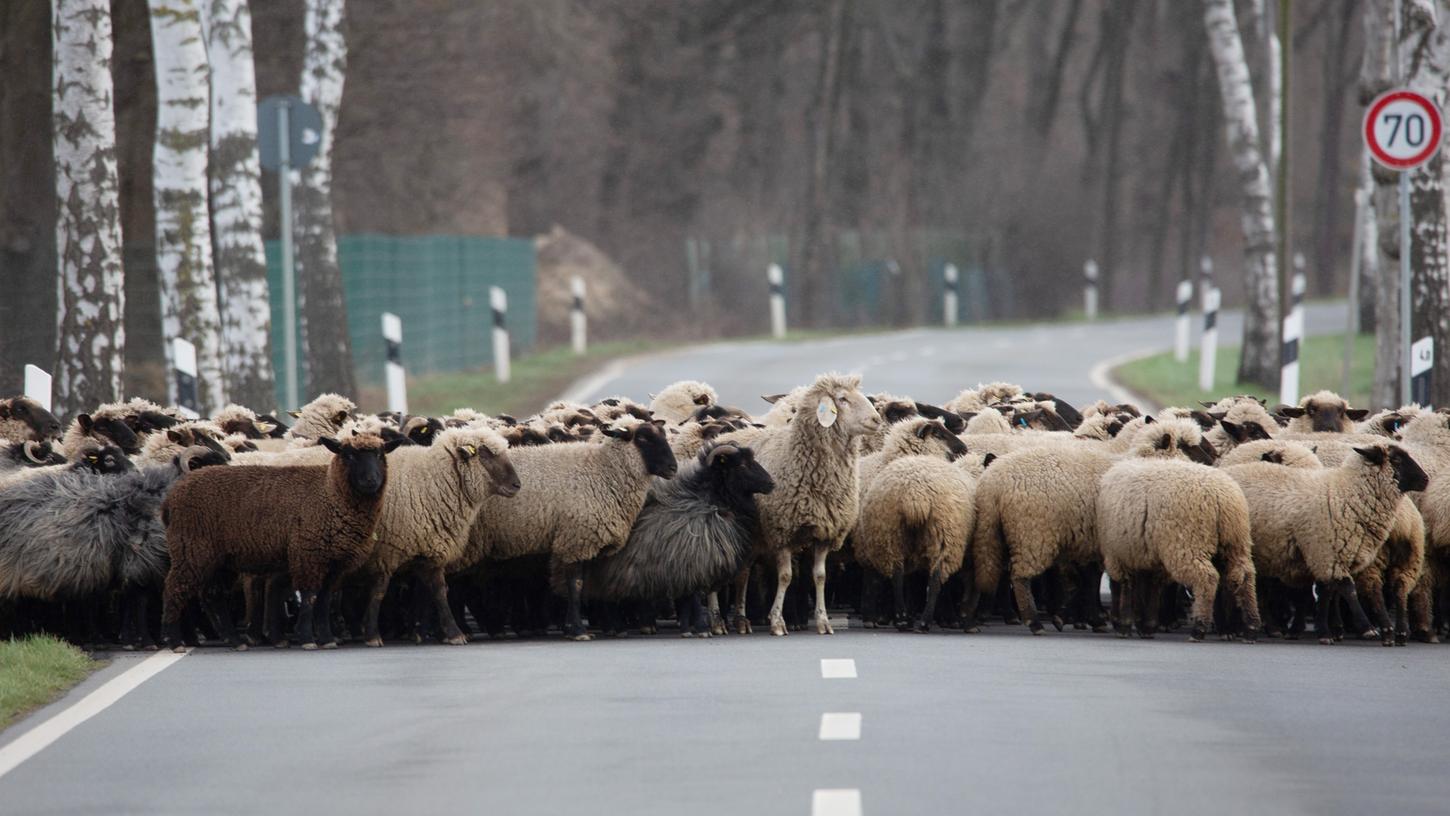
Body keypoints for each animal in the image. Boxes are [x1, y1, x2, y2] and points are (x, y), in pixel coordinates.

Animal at [356, 426, 522, 649]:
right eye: (485, 454)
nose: (517, 485)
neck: (429, 481)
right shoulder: (387, 551)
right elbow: (379, 592)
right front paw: (372, 634)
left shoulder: (431, 548)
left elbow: (439, 592)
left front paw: (450, 633)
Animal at [716, 373, 875, 634]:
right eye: (842, 399)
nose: (876, 419)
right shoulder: (782, 531)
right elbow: (786, 577)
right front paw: (777, 621)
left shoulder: (825, 533)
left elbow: (819, 576)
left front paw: (823, 621)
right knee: (737, 573)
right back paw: (729, 620)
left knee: (744, 572)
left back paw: (741, 619)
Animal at [1096, 460, 1258, 637]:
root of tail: (1220, 497)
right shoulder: (1144, 555)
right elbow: (1151, 587)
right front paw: (1147, 625)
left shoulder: (1119, 554)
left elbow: (1127, 586)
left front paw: (1125, 625)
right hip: (1235, 542)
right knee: (1244, 576)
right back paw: (1250, 625)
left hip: (1187, 544)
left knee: (1207, 578)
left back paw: (1199, 627)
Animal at [1223, 440, 1426, 646]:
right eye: (1396, 460)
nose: (1425, 480)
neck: (1345, 493)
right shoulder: (1325, 552)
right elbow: (1347, 589)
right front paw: (1366, 628)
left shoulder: (1328, 555)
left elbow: (1326, 593)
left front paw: (1325, 631)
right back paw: (1239, 628)